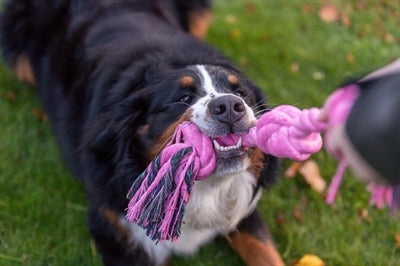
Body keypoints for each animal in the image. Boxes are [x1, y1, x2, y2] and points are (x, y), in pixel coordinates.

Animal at [1, 1, 284, 264]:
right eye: (183, 97)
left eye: (241, 93)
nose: (229, 107)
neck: (202, 192)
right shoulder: (118, 231)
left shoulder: (243, 210)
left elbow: (265, 253)